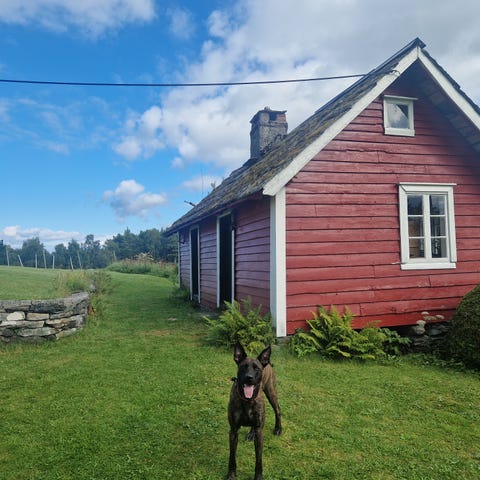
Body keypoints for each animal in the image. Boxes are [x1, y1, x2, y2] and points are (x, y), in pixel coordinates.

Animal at [227, 342, 282, 480]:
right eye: (243, 367)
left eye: (256, 368)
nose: (249, 378)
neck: (247, 400)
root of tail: (267, 362)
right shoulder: (233, 431)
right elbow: (232, 456)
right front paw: (231, 474)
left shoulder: (260, 433)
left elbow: (259, 459)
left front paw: (258, 476)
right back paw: (251, 434)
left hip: (271, 391)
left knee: (278, 410)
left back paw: (278, 428)